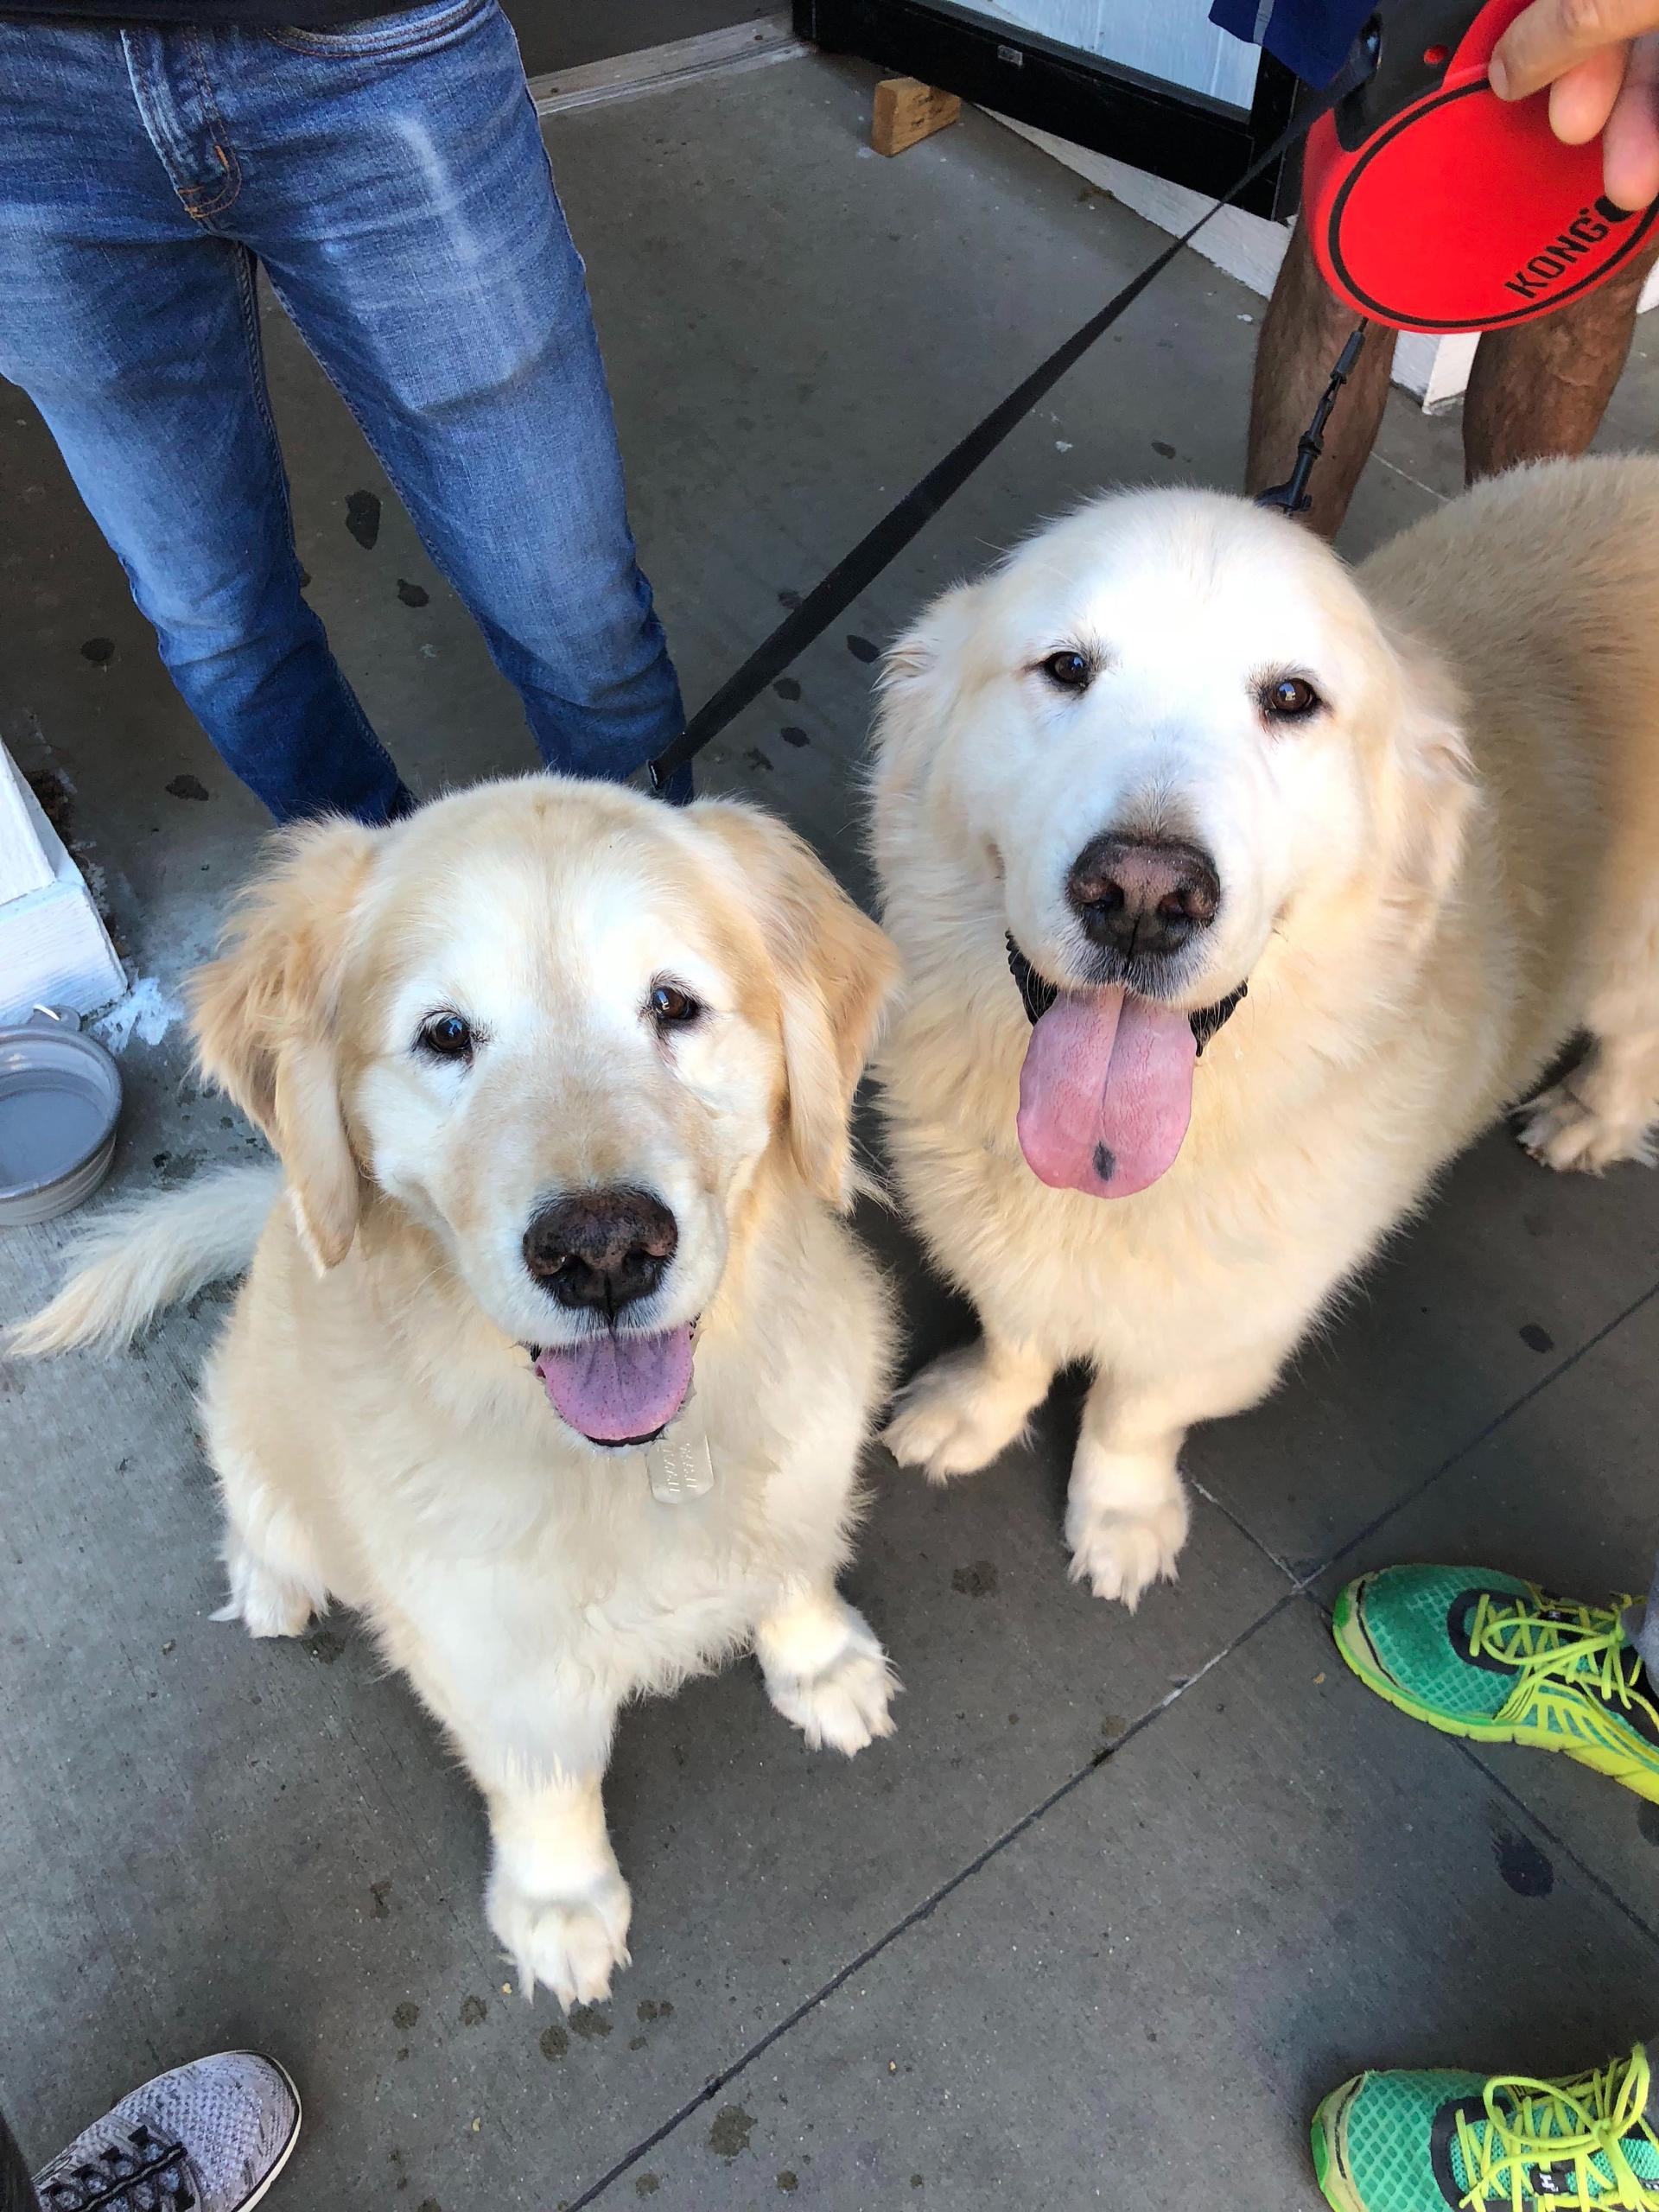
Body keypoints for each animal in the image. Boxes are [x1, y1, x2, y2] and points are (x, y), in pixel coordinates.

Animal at [19, 776, 900, 2005]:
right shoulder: (484, 1645)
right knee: (252, 1504)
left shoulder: (808, 1457)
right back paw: (271, 1583)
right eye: (445, 1036)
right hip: (254, 1423)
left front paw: (821, 1664)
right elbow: (544, 1780)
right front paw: (561, 1903)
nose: (604, 1251)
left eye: (673, 1005)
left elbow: (795, 1565)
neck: (646, 1460)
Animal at [870, 455, 1659, 1608]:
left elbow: (1134, 1412)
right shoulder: (996, 1241)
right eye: (1065, 667)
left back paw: (1590, 1117)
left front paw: (1121, 1517)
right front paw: (975, 1411)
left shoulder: (1234, 1318)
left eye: (1292, 698)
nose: (1143, 897)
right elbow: (1016, 1335)